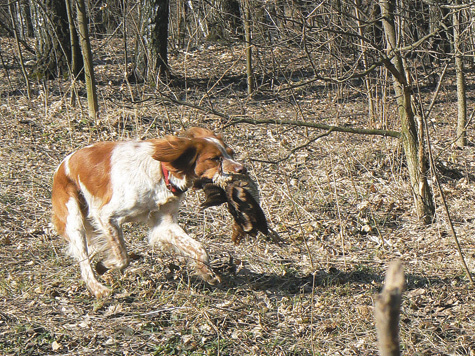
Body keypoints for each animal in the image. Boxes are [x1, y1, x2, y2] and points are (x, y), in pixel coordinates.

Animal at [51, 128, 245, 298]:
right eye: (214, 159)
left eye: (231, 153)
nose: (242, 169)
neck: (162, 174)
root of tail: (62, 165)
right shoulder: (106, 216)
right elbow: (122, 256)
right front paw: (105, 265)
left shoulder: (164, 224)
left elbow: (199, 248)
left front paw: (207, 272)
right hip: (74, 220)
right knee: (84, 261)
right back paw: (98, 289)